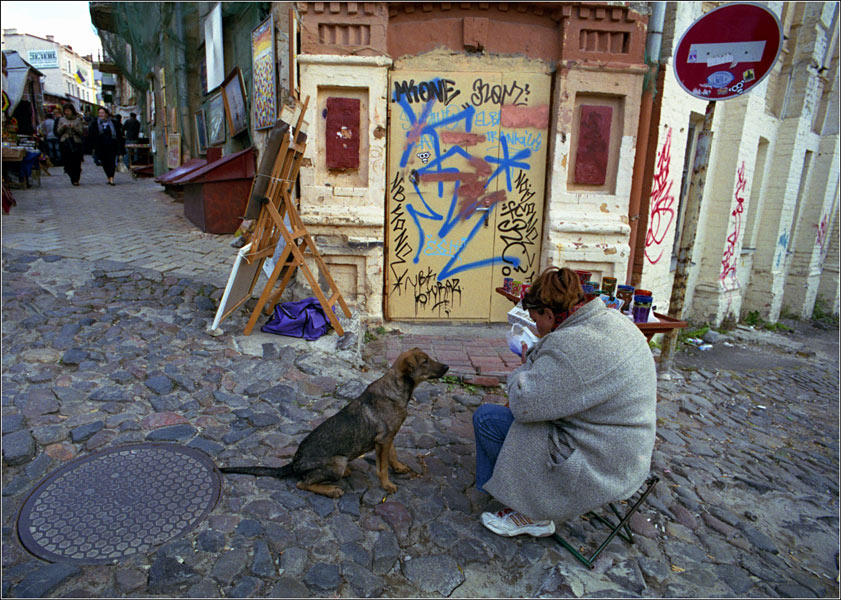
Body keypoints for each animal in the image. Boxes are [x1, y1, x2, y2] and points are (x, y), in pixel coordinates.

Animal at [220, 346, 450, 496]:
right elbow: (382, 467)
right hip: (337, 463)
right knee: (302, 484)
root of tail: (293, 464)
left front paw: (399, 468)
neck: (397, 389)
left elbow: (392, 455)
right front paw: (387, 485)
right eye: (425, 362)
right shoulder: (383, 440)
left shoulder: (387, 437)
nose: (447, 367)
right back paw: (331, 490)